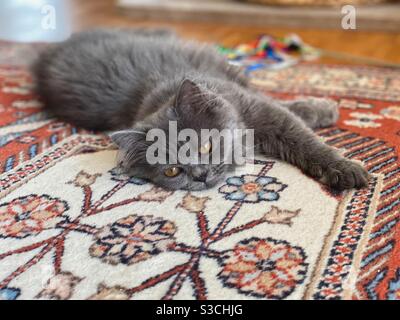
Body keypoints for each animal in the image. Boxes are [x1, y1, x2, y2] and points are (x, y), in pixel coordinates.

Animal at [33, 28, 368, 190]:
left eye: (205, 146)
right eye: (172, 170)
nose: (200, 175)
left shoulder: (258, 108)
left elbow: (303, 137)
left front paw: (343, 166)